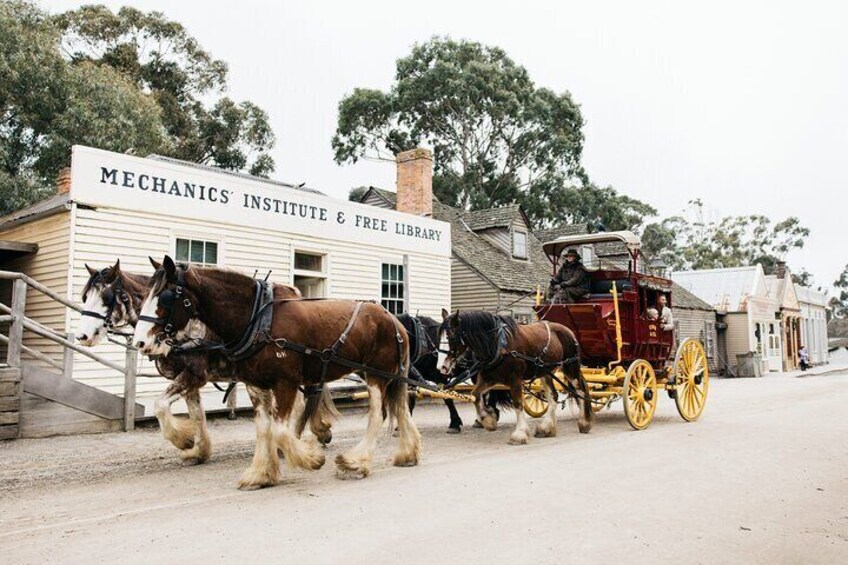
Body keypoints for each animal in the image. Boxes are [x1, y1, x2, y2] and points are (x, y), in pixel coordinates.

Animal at [77, 260, 334, 462]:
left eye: (106, 298)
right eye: (85, 297)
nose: (82, 336)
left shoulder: (194, 374)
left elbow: (160, 405)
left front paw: (183, 440)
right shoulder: (189, 380)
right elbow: (196, 414)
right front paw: (199, 450)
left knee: (299, 403)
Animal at [132, 256, 420, 490]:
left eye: (165, 297)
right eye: (143, 296)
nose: (140, 342)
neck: (259, 319)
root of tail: (393, 320)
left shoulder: (286, 383)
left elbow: (280, 430)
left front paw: (311, 458)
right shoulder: (255, 385)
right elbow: (263, 429)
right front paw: (261, 474)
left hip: (377, 375)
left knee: (378, 415)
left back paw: (355, 462)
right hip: (386, 375)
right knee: (400, 409)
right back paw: (407, 454)